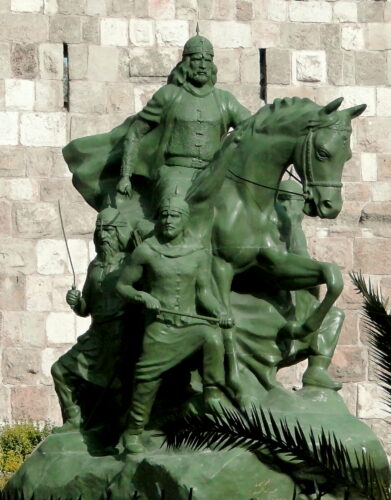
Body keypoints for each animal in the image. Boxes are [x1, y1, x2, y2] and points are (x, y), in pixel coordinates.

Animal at [186, 95, 368, 396]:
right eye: (322, 153)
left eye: (349, 157)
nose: (331, 207)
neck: (247, 199)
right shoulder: (219, 267)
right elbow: (227, 322)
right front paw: (235, 384)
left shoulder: (275, 263)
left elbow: (333, 276)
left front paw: (299, 330)